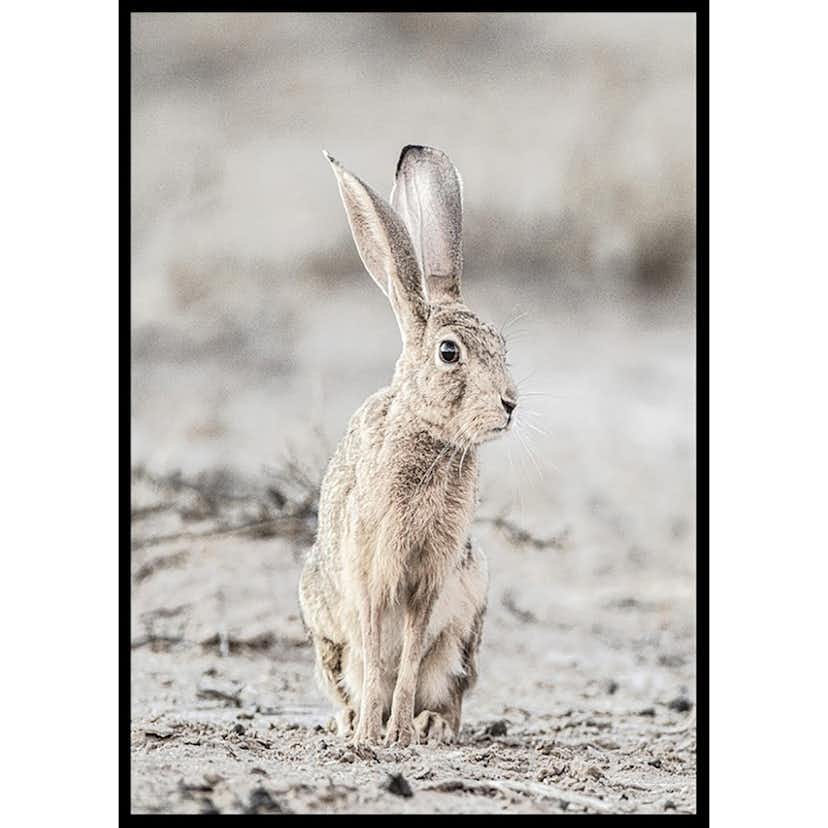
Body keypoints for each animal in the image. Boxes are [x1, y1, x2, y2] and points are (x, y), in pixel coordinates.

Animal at [299, 145, 518, 747]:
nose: (510, 404)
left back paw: (430, 724)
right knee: (350, 675)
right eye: (449, 353)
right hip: (325, 631)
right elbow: (378, 654)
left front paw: (398, 733)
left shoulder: (430, 579)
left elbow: (411, 655)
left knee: (447, 688)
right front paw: (371, 735)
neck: (429, 438)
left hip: (467, 625)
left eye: (502, 346)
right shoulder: (373, 572)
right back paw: (351, 722)